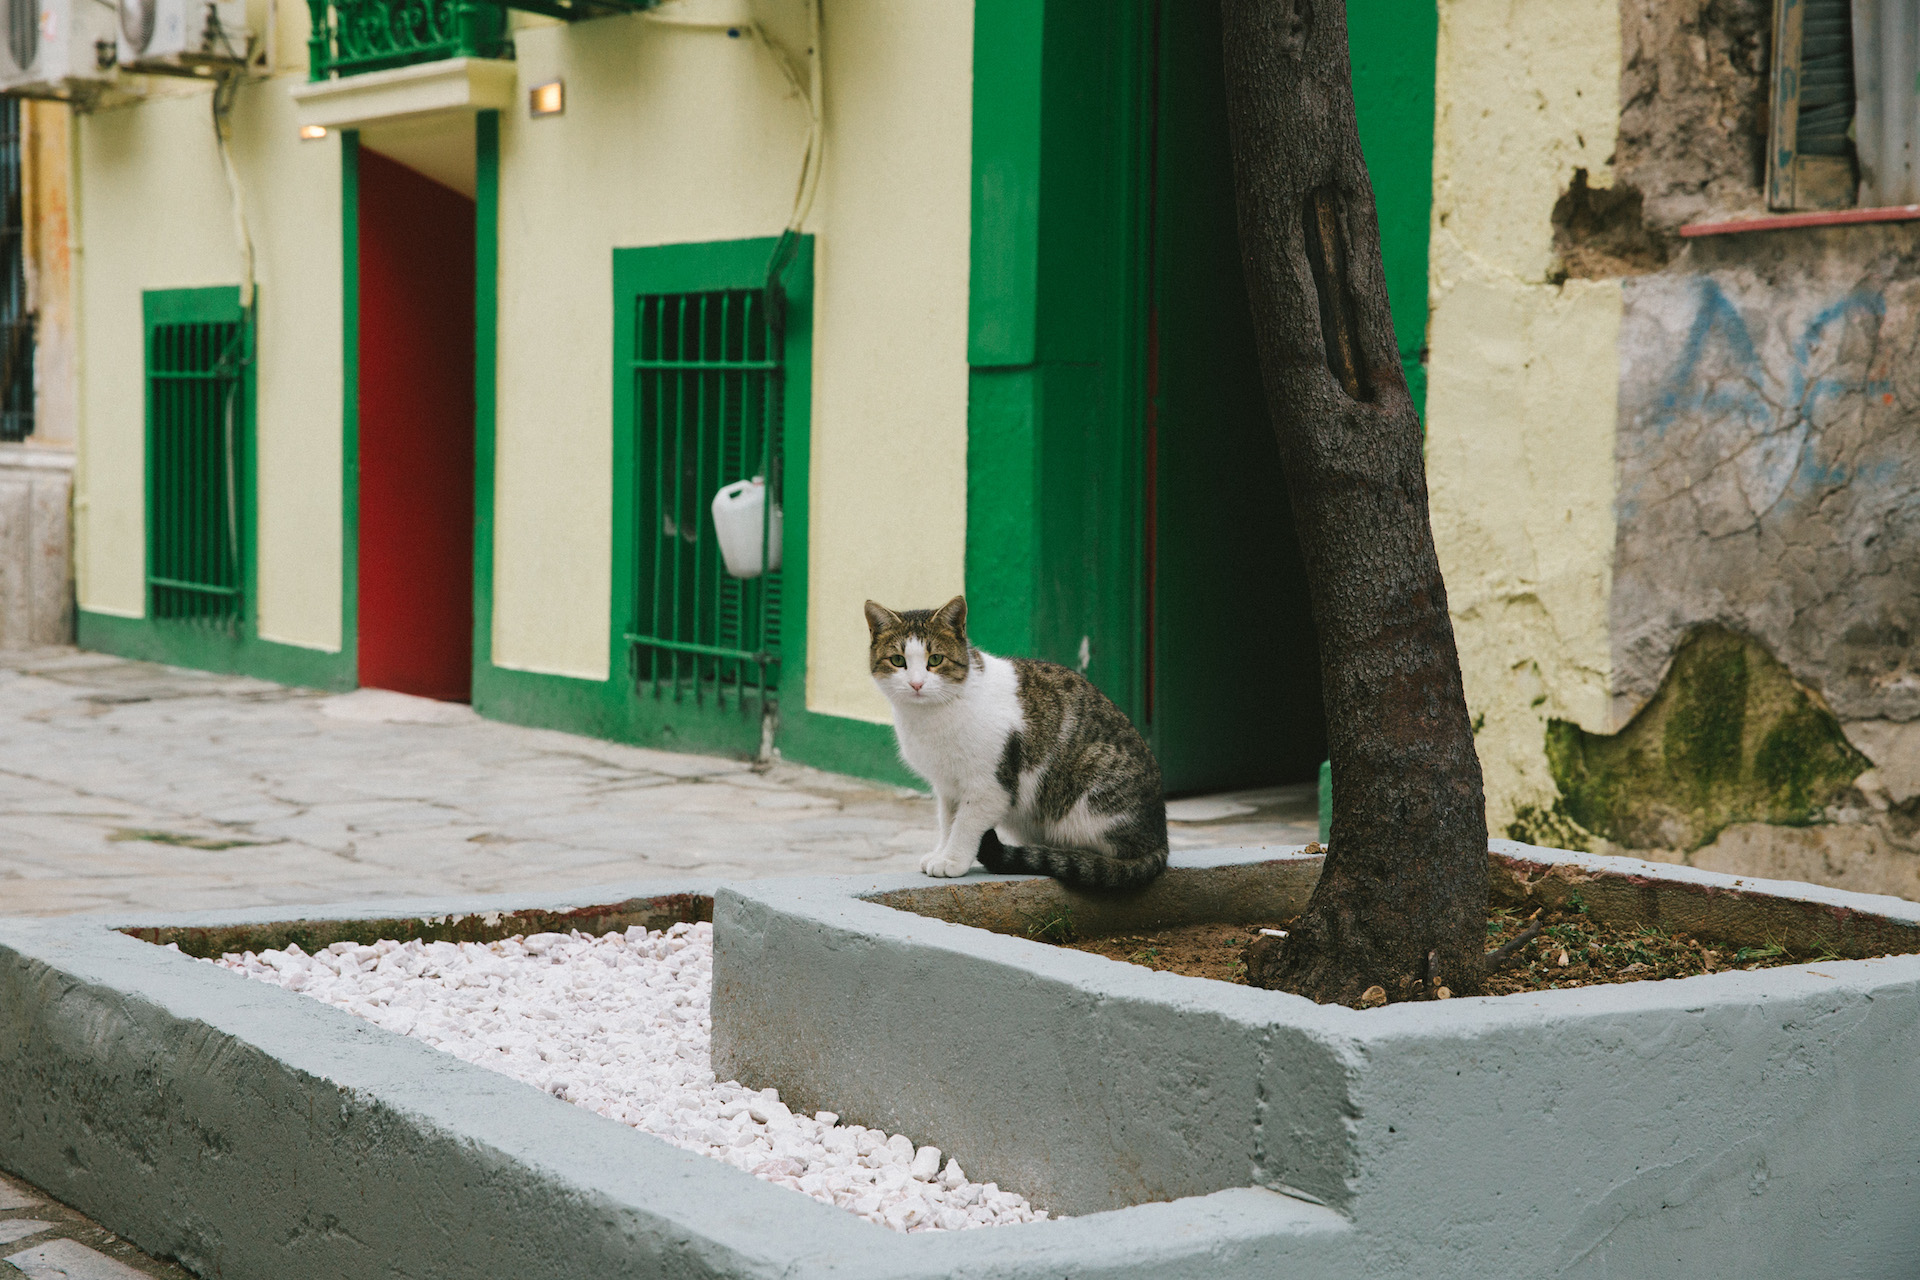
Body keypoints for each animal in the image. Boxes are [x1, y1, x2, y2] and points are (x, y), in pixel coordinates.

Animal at [871, 594, 1167, 886]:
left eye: (935, 659)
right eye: (897, 660)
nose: (916, 684)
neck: (928, 718)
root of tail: (1160, 838)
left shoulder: (989, 787)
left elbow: (964, 824)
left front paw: (952, 860)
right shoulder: (947, 786)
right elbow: (947, 822)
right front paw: (940, 853)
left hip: (1091, 785)